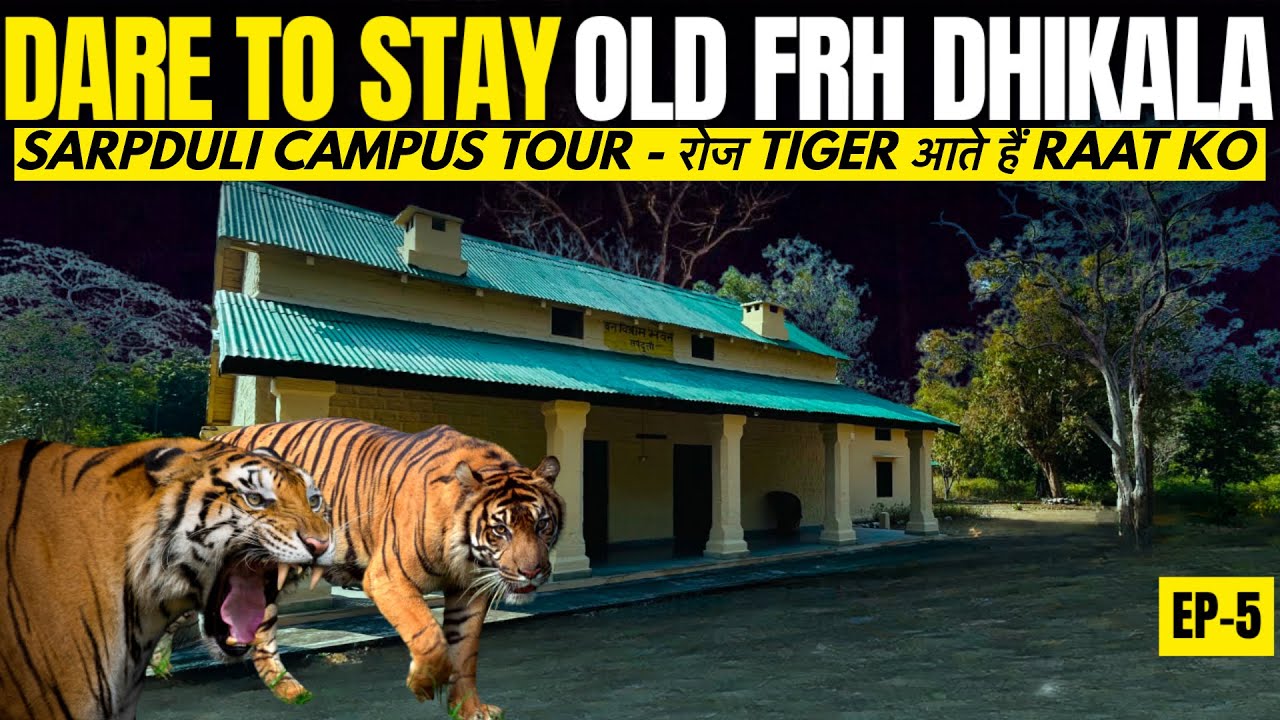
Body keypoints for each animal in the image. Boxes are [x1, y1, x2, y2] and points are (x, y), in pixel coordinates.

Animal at [215, 418, 566, 720]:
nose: (532, 572)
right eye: (500, 530)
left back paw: (288, 690)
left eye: (542, 524)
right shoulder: (387, 577)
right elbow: (429, 636)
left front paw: (469, 710)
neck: (465, 555)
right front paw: (423, 684)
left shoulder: (468, 590)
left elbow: (465, 652)